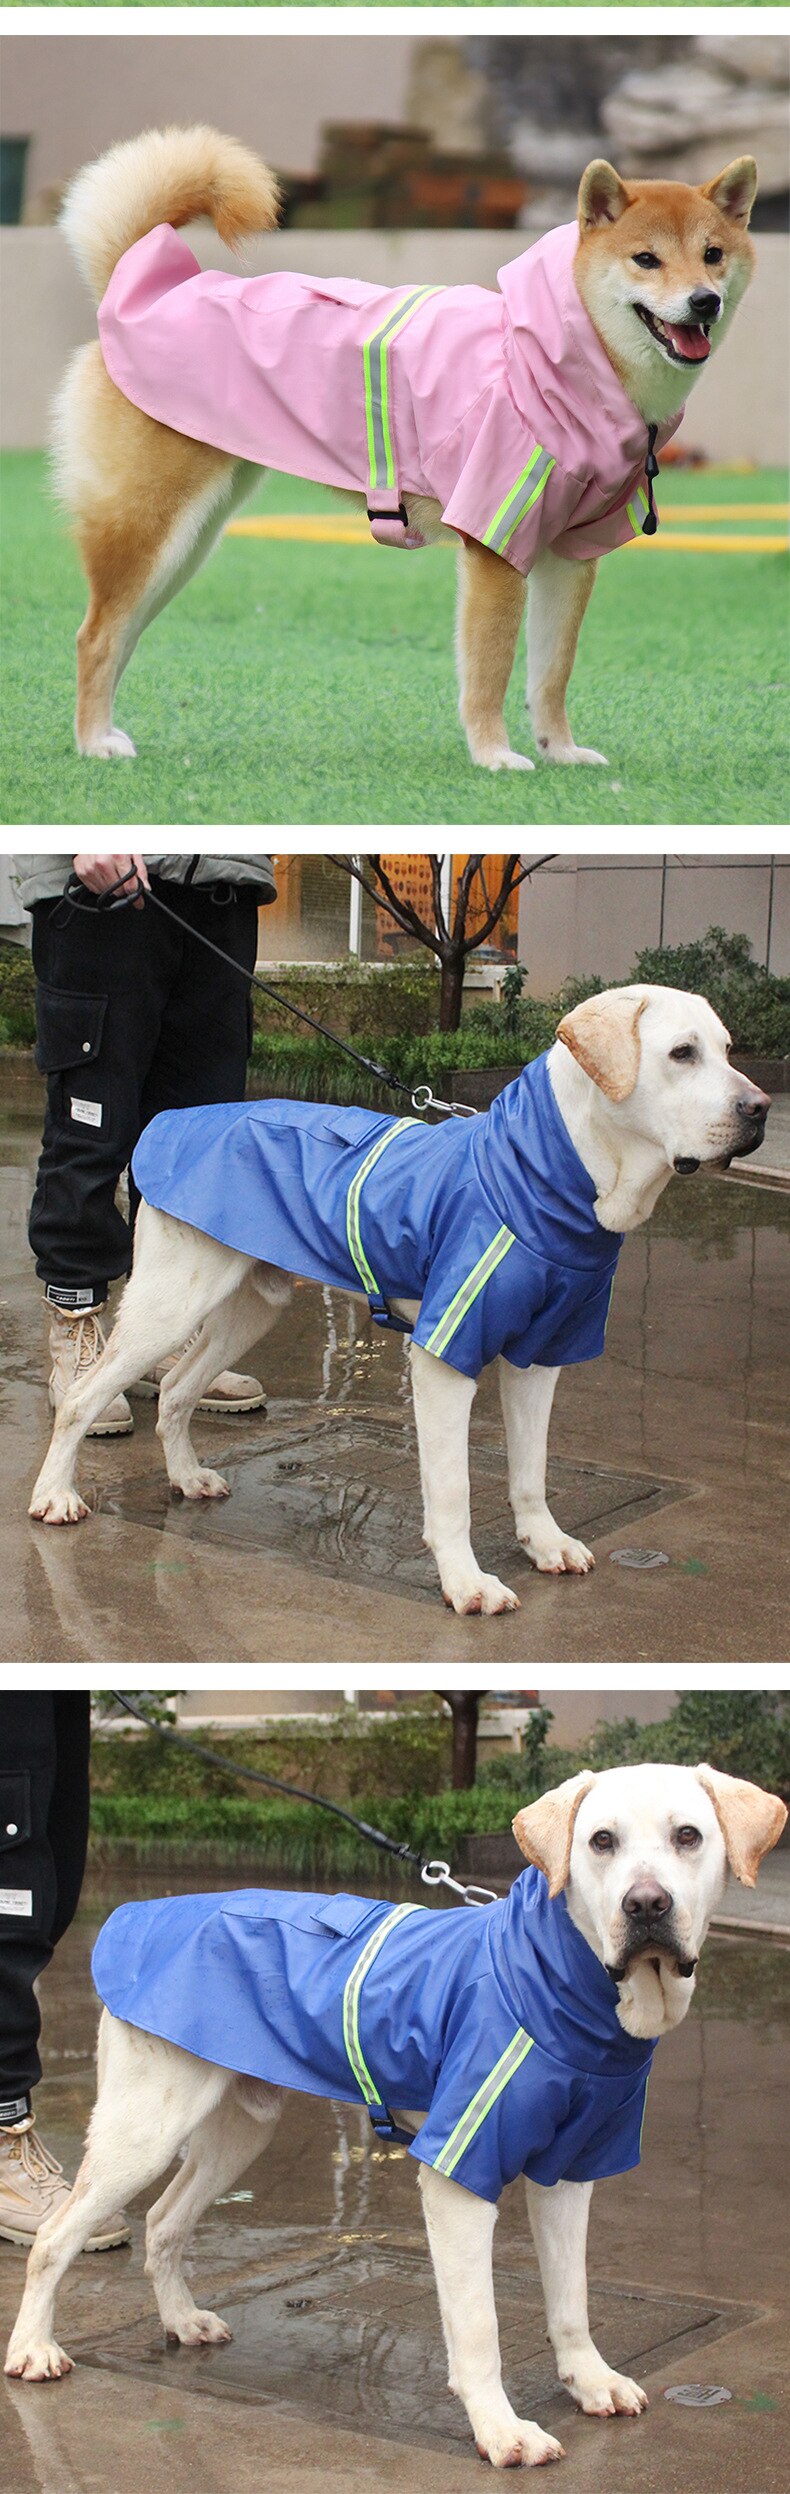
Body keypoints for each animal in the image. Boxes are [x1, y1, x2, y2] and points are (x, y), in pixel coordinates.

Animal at [6, 1765, 782, 2464]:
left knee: (166, 2222)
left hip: (239, 2128)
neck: (566, 1984)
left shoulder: (569, 2171)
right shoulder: (458, 2176)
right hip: (144, 2128)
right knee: (56, 2238)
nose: (646, 1905)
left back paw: (179, 2320)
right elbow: (478, 2328)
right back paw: (35, 2347)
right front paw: (501, 2430)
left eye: (688, 1836)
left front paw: (588, 2381)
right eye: (600, 1841)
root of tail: (138, 1915)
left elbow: (571, 2300)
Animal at [27, 982, 767, 1606]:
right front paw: (465, 1582)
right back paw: (55, 1494)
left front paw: (544, 1542)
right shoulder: (445, 1357)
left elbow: (530, 1471)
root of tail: (174, 1122)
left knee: (179, 1388)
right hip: (171, 1302)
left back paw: (185, 1476)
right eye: (681, 1053)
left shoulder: (539, 1355)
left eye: (729, 1050)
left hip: (249, 1306)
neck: (547, 1176)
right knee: (85, 1398)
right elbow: (453, 1488)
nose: (760, 1109)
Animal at [52, 126, 752, 763]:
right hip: (151, 527)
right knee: (93, 637)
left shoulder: (570, 554)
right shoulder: (494, 547)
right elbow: (491, 670)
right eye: (646, 260)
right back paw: (91, 743)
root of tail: (131, 289)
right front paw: (495, 756)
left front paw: (560, 752)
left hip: (188, 543)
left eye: (713, 254)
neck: (567, 362)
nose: (704, 301)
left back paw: (107, 733)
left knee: (119, 633)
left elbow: (551, 674)